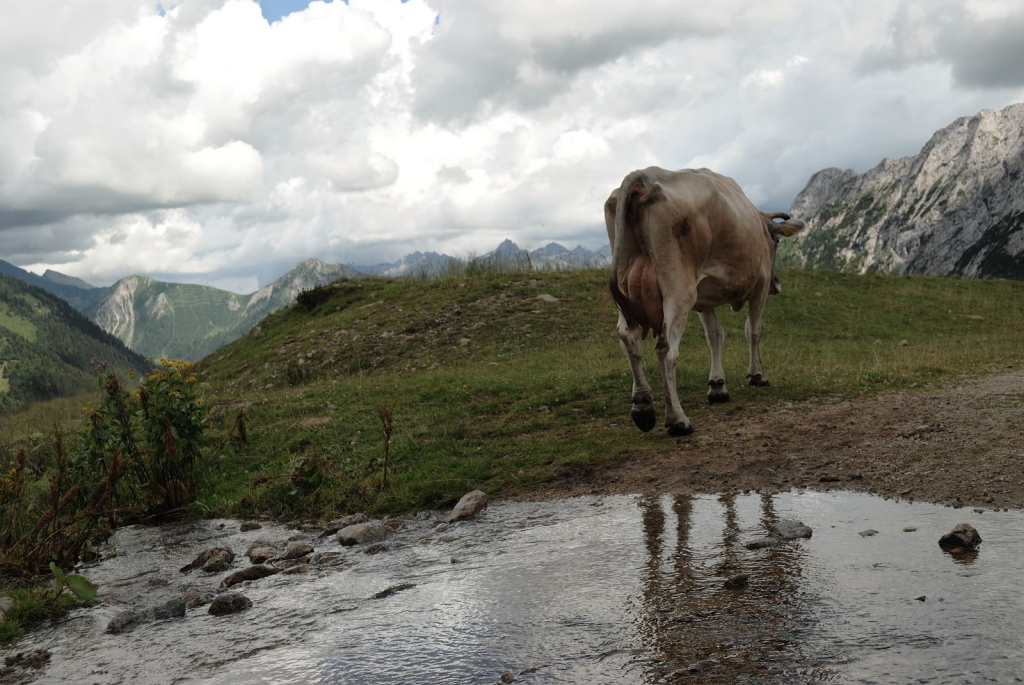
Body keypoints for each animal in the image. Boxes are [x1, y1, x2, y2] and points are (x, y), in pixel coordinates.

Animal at [602, 164, 802, 432]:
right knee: (666, 350)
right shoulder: (759, 286)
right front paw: (757, 375)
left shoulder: (703, 299)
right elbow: (753, 330)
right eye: (778, 241)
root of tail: (644, 175)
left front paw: (718, 386)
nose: (776, 285)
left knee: (628, 339)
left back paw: (643, 406)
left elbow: (715, 336)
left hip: (627, 290)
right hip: (678, 288)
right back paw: (677, 420)